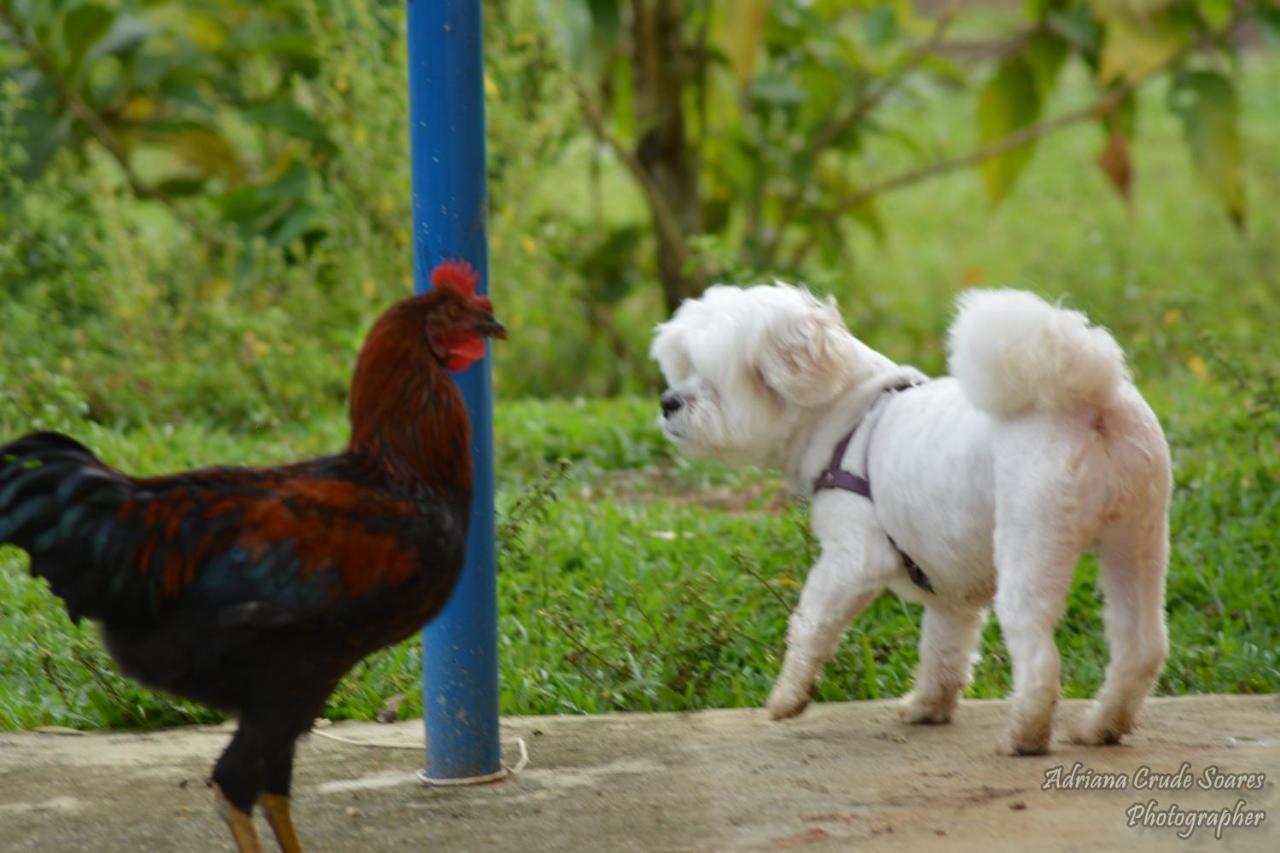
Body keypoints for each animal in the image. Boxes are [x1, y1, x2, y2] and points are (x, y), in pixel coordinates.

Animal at [650, 285, 1172, 753]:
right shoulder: (951, 586)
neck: (847, 413)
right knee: (1142, 646)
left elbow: (809, 623)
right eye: (682, 368)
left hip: (1034, 542)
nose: (668, 402)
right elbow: (943, 649)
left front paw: (787, 698)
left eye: (709, 378)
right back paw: (1101, 726)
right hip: (1138, 539)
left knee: (1040, 656)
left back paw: (1024, 736)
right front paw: (928, 706)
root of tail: (1089, 398)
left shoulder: (853, 558)